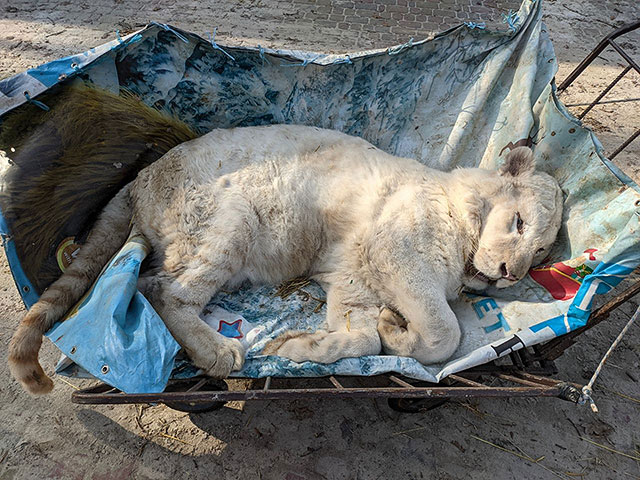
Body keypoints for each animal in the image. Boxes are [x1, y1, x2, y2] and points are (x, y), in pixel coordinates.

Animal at [8, 124, 560, 394]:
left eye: (540, 254)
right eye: (518, 224)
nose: (510, 276)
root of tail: (139, 179)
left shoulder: (353, 280)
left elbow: (361, 337)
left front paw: (302, 345)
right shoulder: (395, 254)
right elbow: (446, 332)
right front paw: (401, 330)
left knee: (154, 284)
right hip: (232, 222)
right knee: (160, 289)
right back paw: (218, 351)